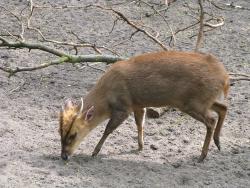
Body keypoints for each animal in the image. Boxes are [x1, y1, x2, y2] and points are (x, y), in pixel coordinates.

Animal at [59, 50, 229, 162]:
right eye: (60, 132)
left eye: (73, 134)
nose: (64, 156)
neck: (106, 95)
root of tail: (224, 77)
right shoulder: (138, 104)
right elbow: (140, 124)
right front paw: (140, 147)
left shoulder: (123, 107)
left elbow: (108, 129)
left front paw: (95, 152)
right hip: (202, 101)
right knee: (223, 108)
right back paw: (218, 143)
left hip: (192, 103)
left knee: (211, 120)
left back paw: (202, 155)